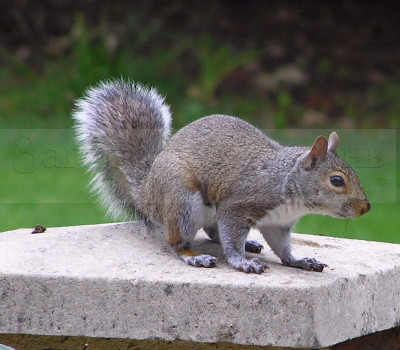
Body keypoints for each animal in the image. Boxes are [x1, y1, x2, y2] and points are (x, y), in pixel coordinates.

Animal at [73, 79, 370, 274]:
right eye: (337, 181)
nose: (366, 208)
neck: (287, 183)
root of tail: (147, 193)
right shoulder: (238, 206)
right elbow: (232, 236)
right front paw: (242, 262)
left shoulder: (278, 224)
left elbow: (282, 247)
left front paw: (298, 261)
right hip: (182, 200)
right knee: (176, 242)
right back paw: (194, 256)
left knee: (212, 231)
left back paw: (249, 242)